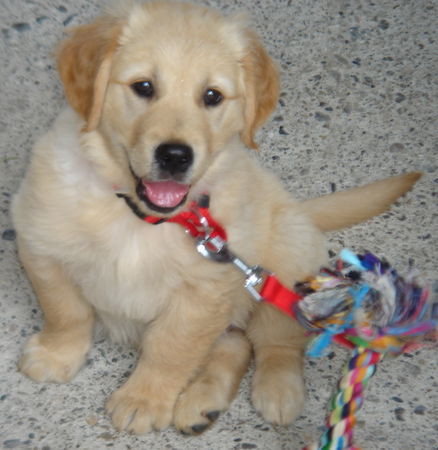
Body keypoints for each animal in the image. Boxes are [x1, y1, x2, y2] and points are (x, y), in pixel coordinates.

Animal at [12, 0, 420, 436]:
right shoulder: (40, 241)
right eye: (143, 87)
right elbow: (65, 310)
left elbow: (170, 348)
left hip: (284, 260)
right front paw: (57, 354)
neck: (139, 217)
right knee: (235, 343)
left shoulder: (203, 291)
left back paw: (279, 390)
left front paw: (143, 399)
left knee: (275, 342)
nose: (175, 156)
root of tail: (298, 209)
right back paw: (202, 404)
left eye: (212, 96)